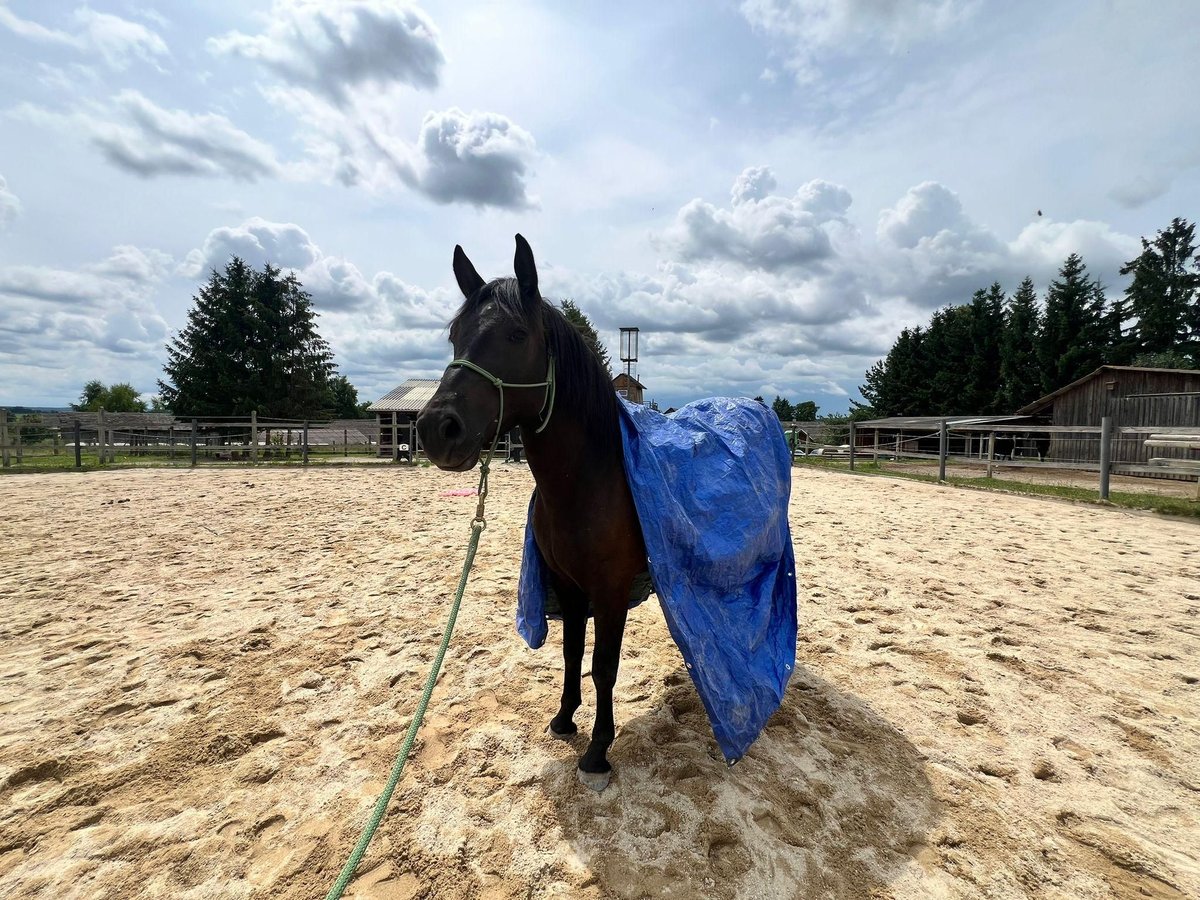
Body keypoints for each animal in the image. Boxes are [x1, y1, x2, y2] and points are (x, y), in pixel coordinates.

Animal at [416, 234, 646, 791]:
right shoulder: (568, 586)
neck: (588, 483)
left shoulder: (610, 591)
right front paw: (564, 719)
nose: (436, 428)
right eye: (454, 335)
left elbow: (604, 666)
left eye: (517, 334)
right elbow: (571, 652)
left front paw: (598, 751)